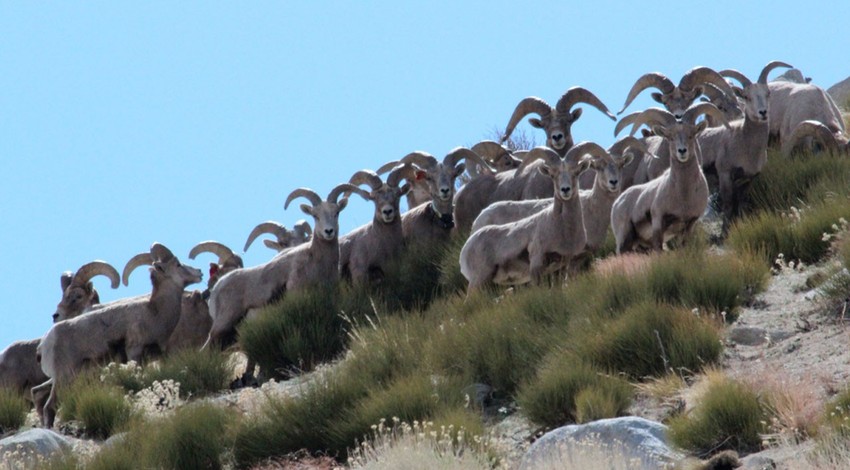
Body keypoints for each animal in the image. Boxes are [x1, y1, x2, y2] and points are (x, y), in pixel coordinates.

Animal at [37, 244, 202, 428]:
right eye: (178, 264)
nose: (199, 272)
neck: (154, 312)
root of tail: (43, 345)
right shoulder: (134, 352)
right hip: (63, 379)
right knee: (50, 407)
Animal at [202, 184, 358, 352]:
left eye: (336, 213)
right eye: (315, 216)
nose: (328, 231)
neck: (318, 263)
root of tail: (218, 287)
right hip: (222, 326)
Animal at [460, 143, 608, 292]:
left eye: (576, 172)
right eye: (553, 175)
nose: (565, 190)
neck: (561, 228)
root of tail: (466, 248)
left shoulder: (562, 266)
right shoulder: (537, 267)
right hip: (478, 281)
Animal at [608, 103, 728, 253]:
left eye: (691, 135)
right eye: (670, 137)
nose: (682, 151)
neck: (683, 195)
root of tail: (618, 202)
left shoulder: (689, 225)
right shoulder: (658, 223)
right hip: (624, 241)